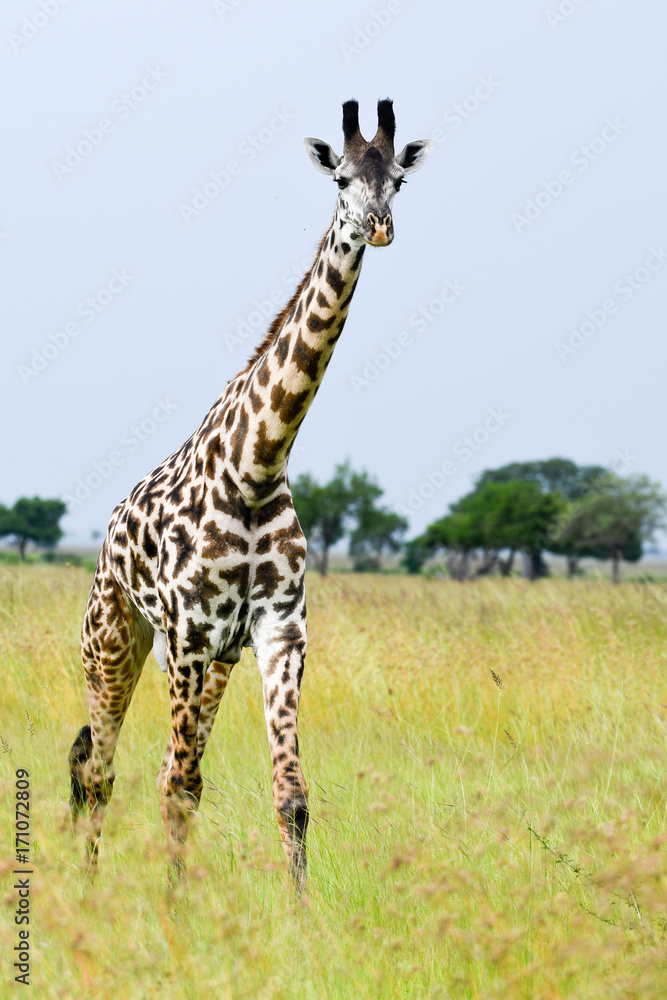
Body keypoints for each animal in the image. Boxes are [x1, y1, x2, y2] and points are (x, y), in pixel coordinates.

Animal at [69, 99, 433, 890]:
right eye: (338, 178)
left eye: (397, 179)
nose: (379, 226)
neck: (258, 466)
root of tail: (109, 529)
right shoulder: (188, 632)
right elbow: (176, 783)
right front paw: (174, 911)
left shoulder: (279, 632)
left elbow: (289, 794)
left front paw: (299, 913)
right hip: (116, 640)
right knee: (99, 769)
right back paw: (88, 890)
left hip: (212, 659)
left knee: (157, 769)